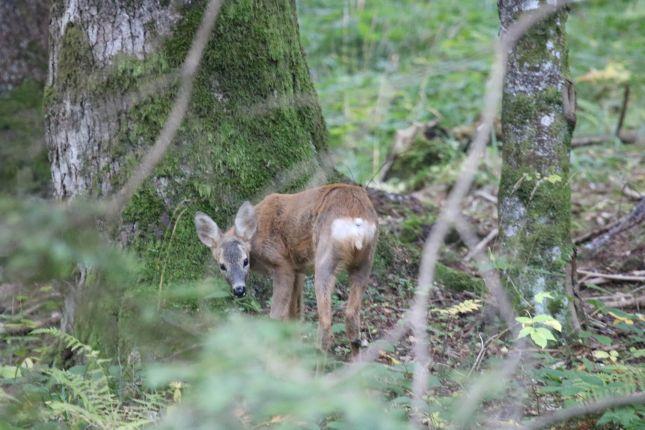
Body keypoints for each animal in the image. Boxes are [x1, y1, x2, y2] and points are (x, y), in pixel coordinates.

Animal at [194, 183, 380, 354]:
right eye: (222, 266)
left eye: (245, 261)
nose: (239, 290)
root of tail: (356, 221)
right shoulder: (298, 269)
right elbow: (295, 315)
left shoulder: (282, 264)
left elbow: (276, 317)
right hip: (366, 260)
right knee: (351, 317)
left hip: (325, 259)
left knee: (326, 322)